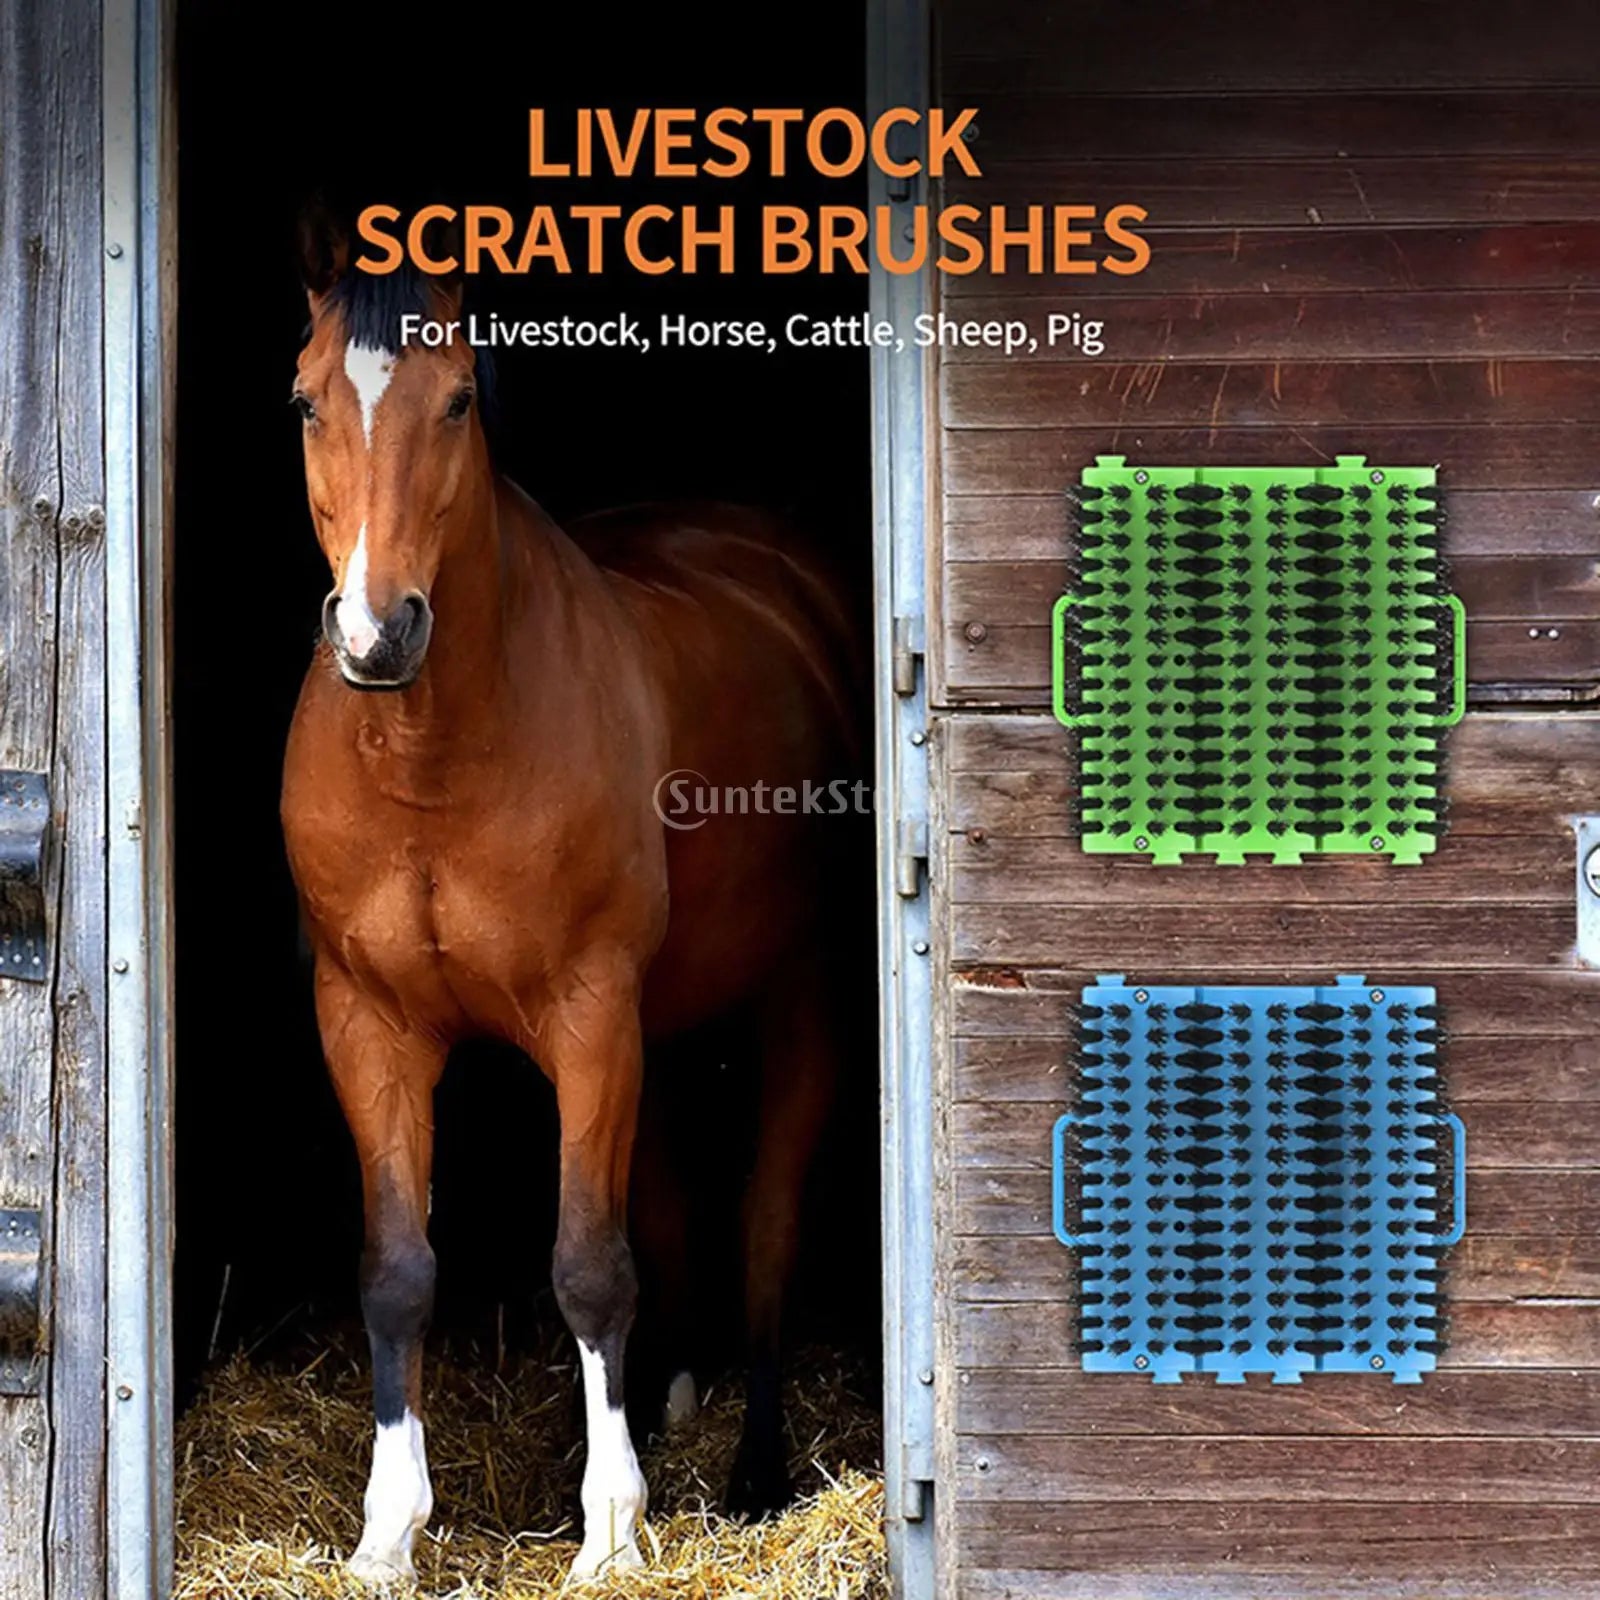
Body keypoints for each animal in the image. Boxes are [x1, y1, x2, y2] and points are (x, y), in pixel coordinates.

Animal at [278, 243, 863, 1583]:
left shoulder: (591, 1016)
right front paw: (386, 1533)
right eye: (304, 401)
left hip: (794, 999)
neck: (433, 757)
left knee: (766, 1221)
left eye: (457, 402)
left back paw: (752, 1471)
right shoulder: (367, 1021)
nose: (377, 632)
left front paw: (609, 1535)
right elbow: (397, 1270)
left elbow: (591, 1267)